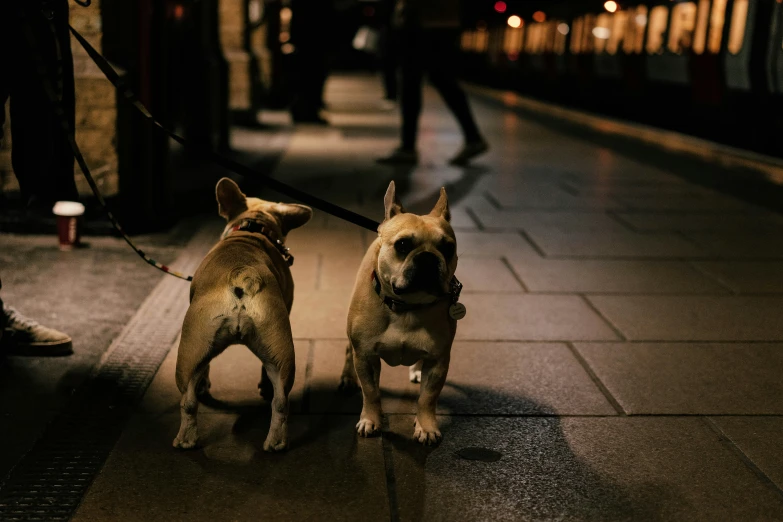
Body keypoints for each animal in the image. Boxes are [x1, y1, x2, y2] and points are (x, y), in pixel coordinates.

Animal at [175, 177, 312, 448]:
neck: (253, 229)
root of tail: (242, 273)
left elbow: (206, 368)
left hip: (191, 350)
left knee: (189, 400)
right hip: (278, 350)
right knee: (280, 402)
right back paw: (275, 442)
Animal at [340, 180, 462, 442]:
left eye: (448, 248)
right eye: (403, 244)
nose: (428, 257)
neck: (407, 306)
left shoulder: (438, 361)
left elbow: (428, 398)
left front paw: (426, 427)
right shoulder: (365, 357)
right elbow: (371, 392)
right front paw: (370, 420)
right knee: (347, 351)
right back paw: (347, 378)